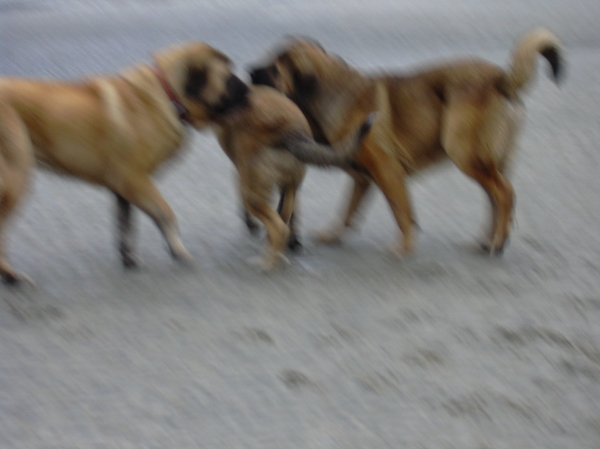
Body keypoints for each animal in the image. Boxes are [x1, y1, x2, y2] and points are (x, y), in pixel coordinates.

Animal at [0, 40, 248, 282]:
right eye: (229, 78)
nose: (249, 89)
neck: (168, 93)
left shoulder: (124, 188)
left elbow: (125, 223)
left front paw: (129, 257)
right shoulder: (135, 179)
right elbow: (165, 213)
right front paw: (179, 251)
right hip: (17, 175)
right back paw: (11, 275)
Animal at [210, 86, 370, 272]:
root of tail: (289, 130)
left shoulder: (240, 175)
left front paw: (251, 224)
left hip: (254, 193)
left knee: (279, 228)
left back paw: (266, 264)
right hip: (290, 187)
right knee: (283, 221)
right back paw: (278, 253)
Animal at [250, 28, 564, 256]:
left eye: (274, 69)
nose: (250, 69)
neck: (332, 94)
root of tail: (502, 79)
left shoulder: (387, 170)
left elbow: (401, 211)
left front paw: (403, 246)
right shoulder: (363, 178)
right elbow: (348, 211)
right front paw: (333, 234)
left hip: (464, 153)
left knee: (504, 193)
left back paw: (497, 243)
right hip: (487, 161)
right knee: (495, 199)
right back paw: (490, 239)